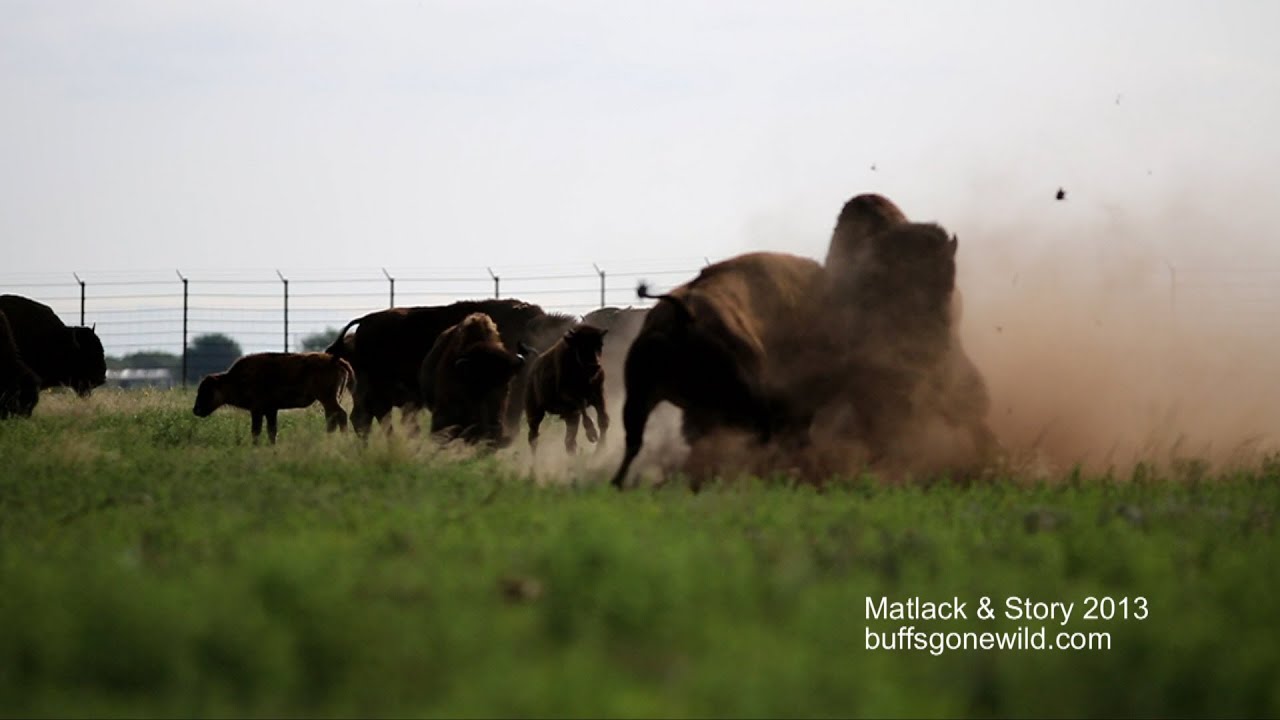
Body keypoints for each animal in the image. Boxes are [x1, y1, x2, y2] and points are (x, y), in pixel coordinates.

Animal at [192, 352, 354, 444]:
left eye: (206, 390)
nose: (195, 410)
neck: (234, 379)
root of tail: (336, 360)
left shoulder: (257, 410)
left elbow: (256, 431)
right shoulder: (271, 410)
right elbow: (271, 431)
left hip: (328, 398)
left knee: (340, 414)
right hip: (329, 400)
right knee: (333, 418)